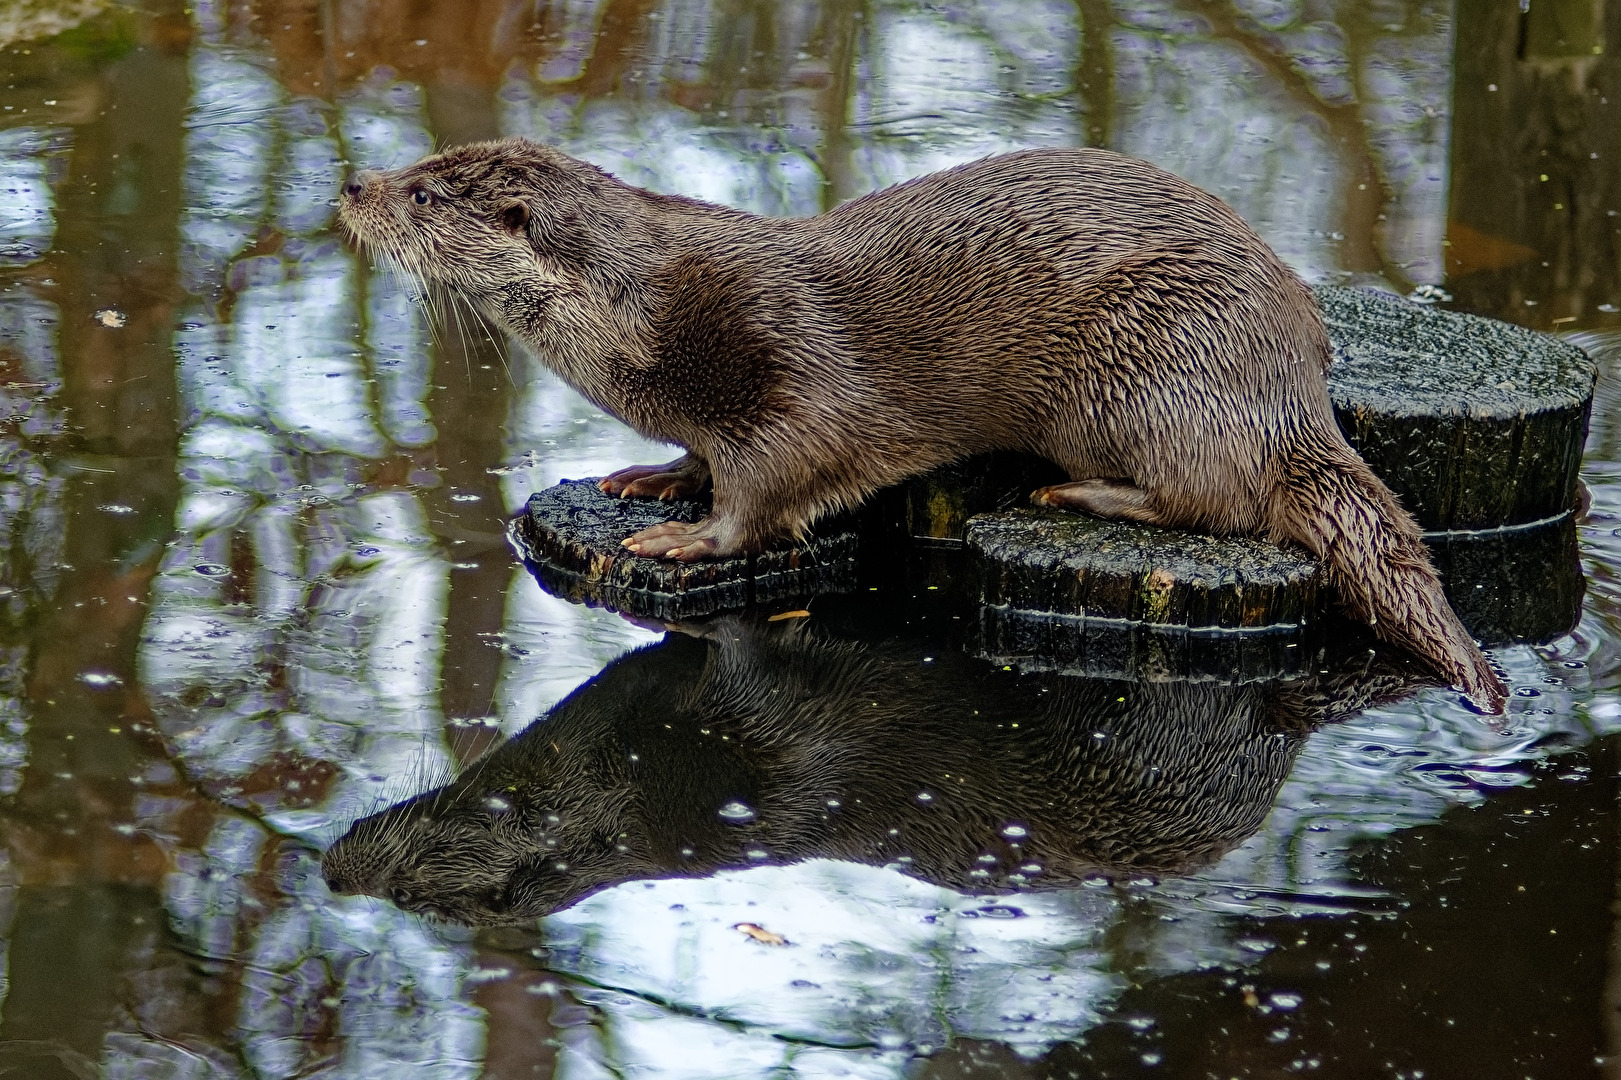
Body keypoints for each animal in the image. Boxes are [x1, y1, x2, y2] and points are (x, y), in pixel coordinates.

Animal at [338, 139, 1505, 712]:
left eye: (426, 195)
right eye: (417, 167)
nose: (352, 181)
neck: (643, 316)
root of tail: (1293, 382)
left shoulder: (788, 373)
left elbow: (776, 480)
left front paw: (691, 536)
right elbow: (706, 455)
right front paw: (658, 476)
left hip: (1155, 359)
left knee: (1216, 501)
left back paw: (1074, 489)